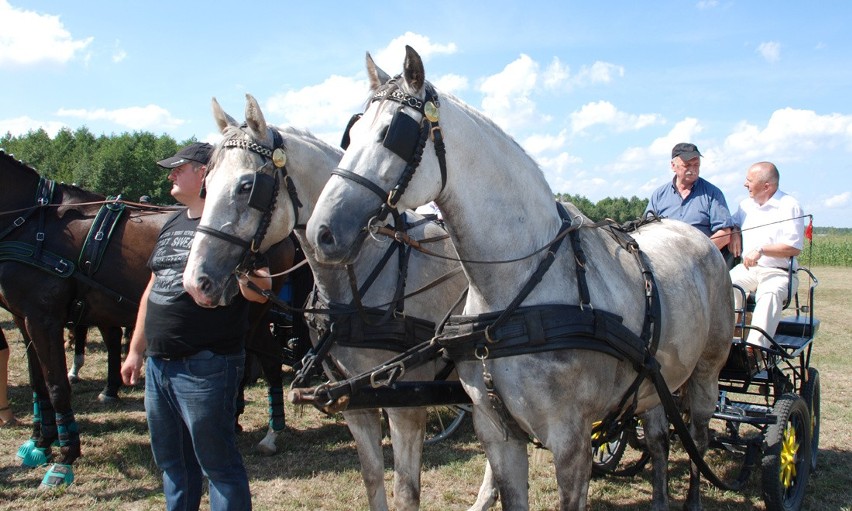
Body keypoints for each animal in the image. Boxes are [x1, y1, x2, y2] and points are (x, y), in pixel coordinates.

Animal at [183, 95, 496, 511]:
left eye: (247, 186)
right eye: (206, 185)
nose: (195, 282)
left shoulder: (406, 404)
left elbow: (405, 493)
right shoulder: (354, 401)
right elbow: (372, 478)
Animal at [310, 46, 736, 510]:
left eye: (393, 133)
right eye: (350, 135)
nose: (321, 232)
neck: (515, 292)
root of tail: (695, 236)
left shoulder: (570, 439)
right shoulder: (496, 431)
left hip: (706, 373)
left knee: (698, 438)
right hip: (654, 379)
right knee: (659, 438)